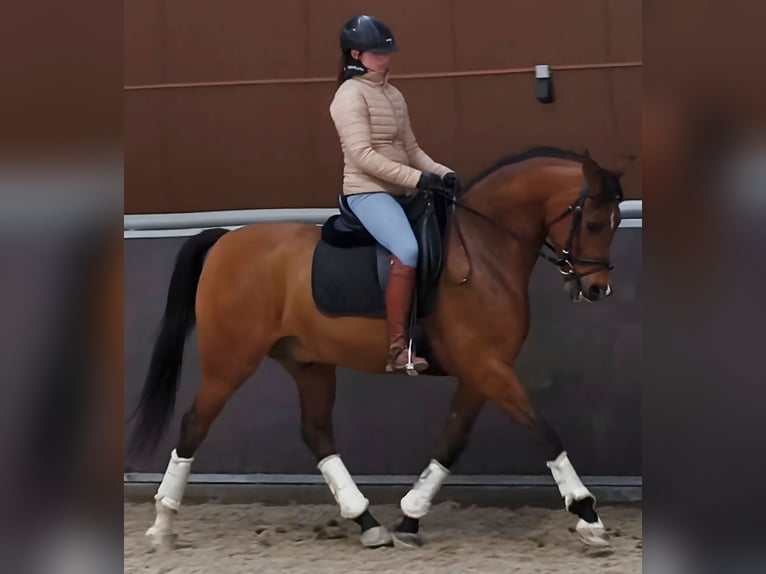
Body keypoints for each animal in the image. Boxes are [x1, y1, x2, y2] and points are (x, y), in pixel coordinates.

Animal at [127, 145, 631, 550]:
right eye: (590, 222)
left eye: (615, 223)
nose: (597, 289)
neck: (484, 251)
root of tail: (226, 240)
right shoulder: (488, 366)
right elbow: (543, 431)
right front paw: (588, 515)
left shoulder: (482, 370)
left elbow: (451, 441)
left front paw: (409, 518)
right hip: (229, 362)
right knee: (194, 425)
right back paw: (162, 524)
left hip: (309, 362)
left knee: (317, 433)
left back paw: (367, 522)